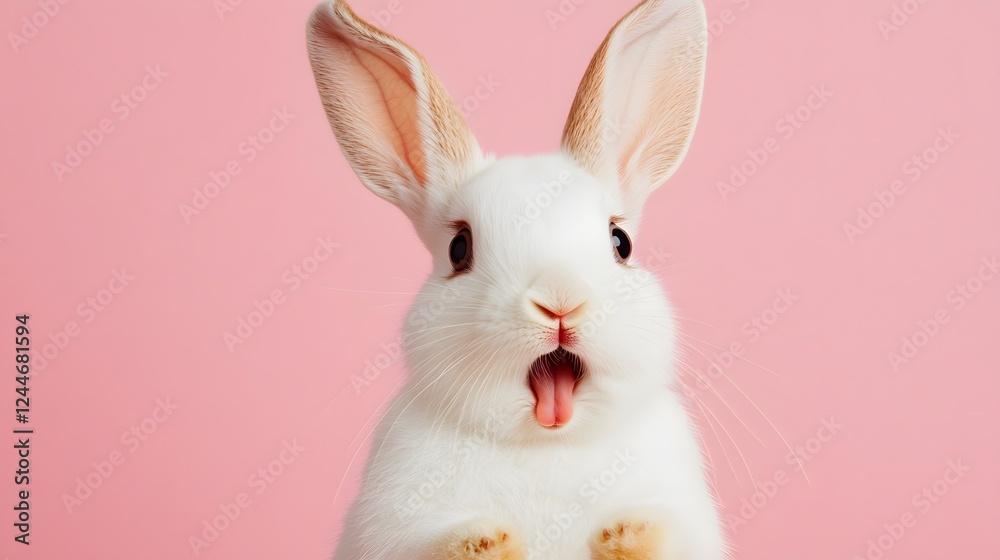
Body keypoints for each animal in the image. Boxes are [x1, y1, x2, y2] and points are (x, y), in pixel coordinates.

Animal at [306, 0, 725, 558]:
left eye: (621, 243)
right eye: (459, 249)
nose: (560, 302)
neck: (546, 443)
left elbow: (664, 534)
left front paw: (628, 531)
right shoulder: (392, 528)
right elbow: (438, 541)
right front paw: (484, 539)